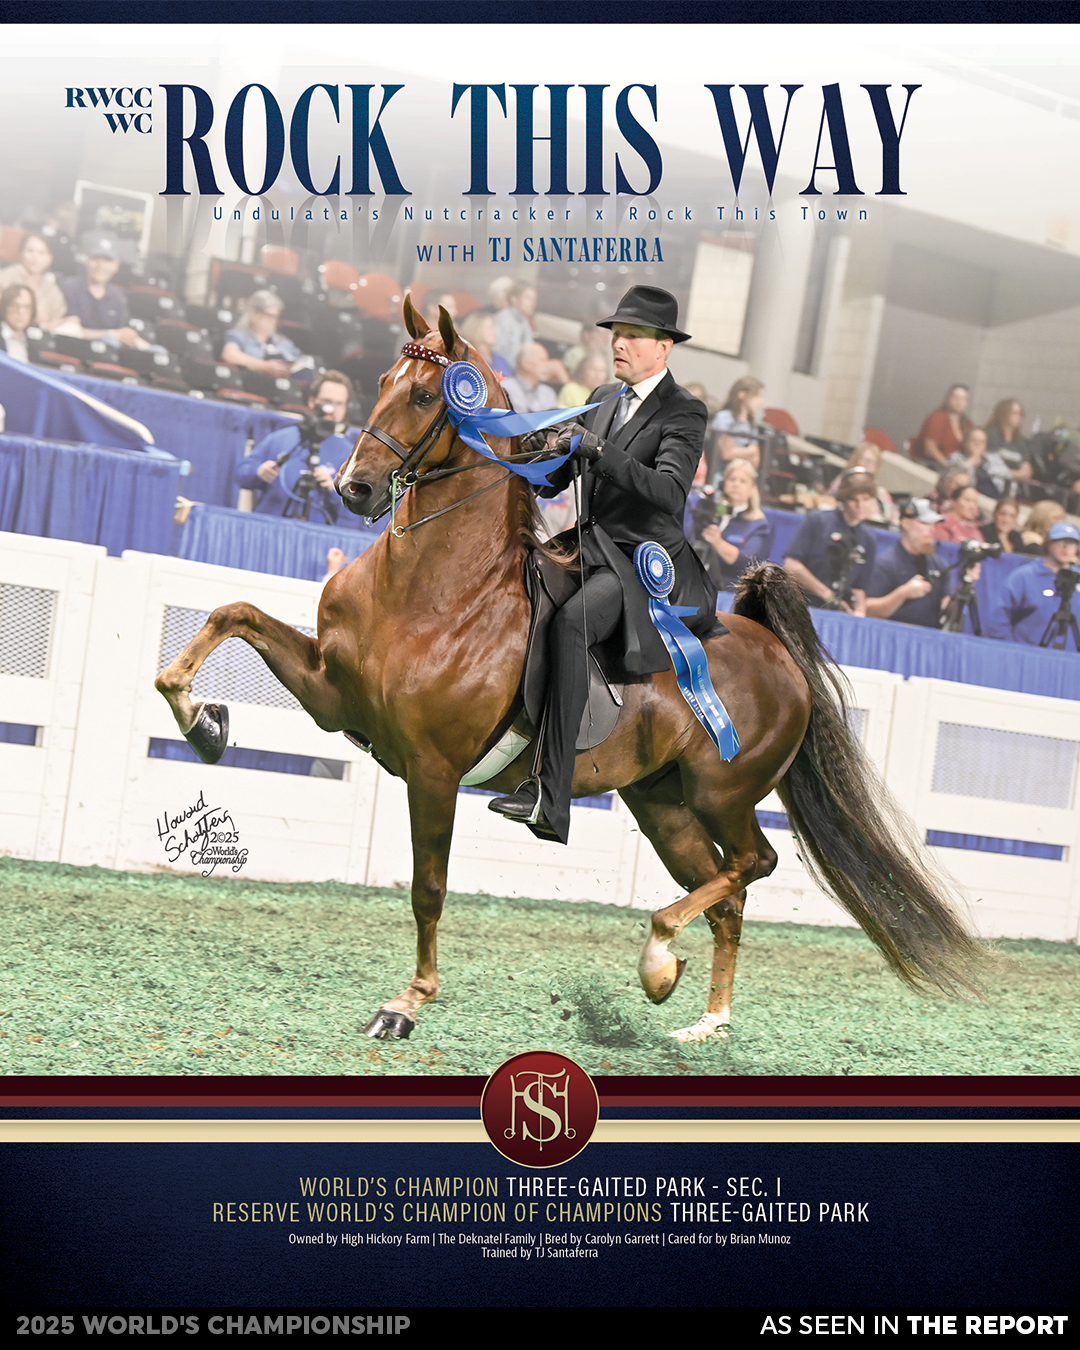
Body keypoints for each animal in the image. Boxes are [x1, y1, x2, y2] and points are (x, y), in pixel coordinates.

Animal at [155, 297, 983, 1044]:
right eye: (385, 378)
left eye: (425, 394)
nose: (352, 488)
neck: (429, 587)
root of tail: (773, 650)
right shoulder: (335, 698)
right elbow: (231, 613)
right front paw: (201, 720)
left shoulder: (432, 766)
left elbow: (429, 887)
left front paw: (407, 1004)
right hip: (663, 806)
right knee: (724, 892)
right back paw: (702, 1017)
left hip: (723, 794)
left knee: (756, 861)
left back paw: (661, 956)